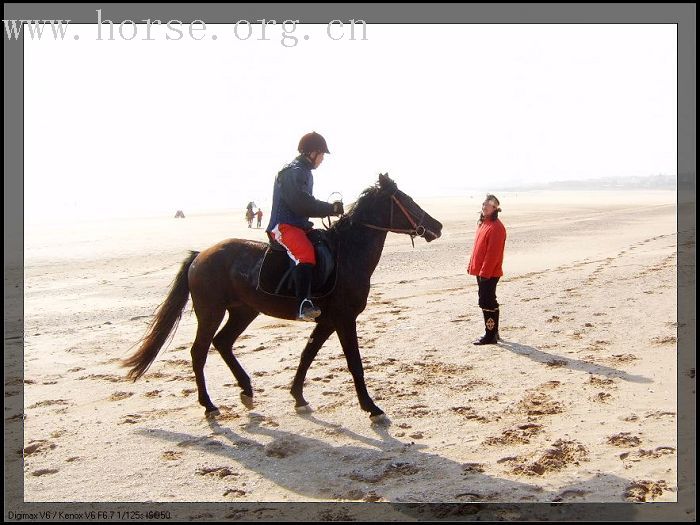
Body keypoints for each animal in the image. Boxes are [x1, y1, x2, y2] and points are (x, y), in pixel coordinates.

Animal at [123, 174, 442, 424]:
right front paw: (371, 407)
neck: (347, 253)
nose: (437, 226)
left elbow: (307, 354)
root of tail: (200, 255)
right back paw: (209, 405)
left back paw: (246, 390)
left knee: (223, 342)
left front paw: (298, 396)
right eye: (407, 200)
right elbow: (354, 363)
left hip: (243, 311)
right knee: (199, 351)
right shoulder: (344, 319)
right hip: (211, 312)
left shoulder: (328, 320)